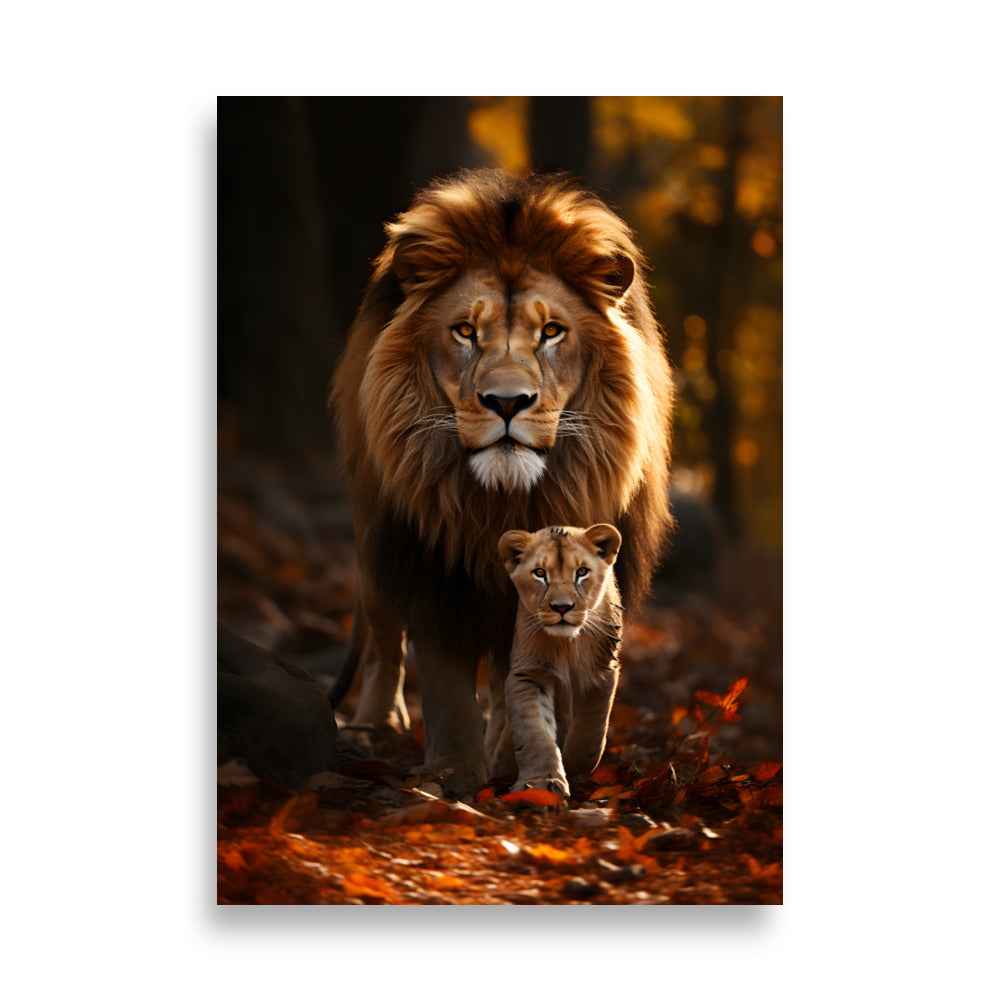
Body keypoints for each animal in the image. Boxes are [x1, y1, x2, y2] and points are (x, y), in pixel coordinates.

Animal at [491, 524, 624, 797]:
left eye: (582, 572)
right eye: (540, 573)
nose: (562, 607)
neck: (567, 645)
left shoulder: (603, 670)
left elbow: (592, 728)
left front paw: (575, 765)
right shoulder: (529, 673)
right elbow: (534, 732)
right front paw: (542, 783)